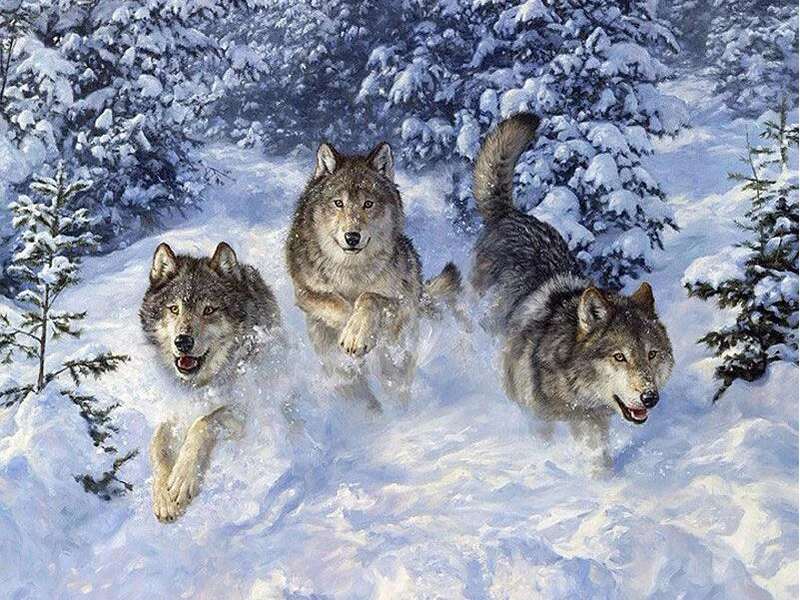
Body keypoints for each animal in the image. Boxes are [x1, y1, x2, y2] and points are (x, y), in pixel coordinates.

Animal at [140, 241, 280, 522]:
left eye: (209, 310)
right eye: (174, 309)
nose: (183, 342)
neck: (201, 384)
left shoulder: (243, 410)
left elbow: (203, 422)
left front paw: (182, 479)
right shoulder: (175, 410)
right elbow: (156, 445)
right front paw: (163, 497)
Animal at [286, 141, 461, 409]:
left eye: (368, 204)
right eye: (338, 203)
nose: (352, 237)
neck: (352, 269)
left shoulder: (403, 302)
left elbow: (369, 297)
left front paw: (357, 333)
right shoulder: (306, 293)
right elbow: (338, 304)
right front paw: (351, 330)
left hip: (398, 361)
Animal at [472, 113, 674, 470]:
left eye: (652, 354)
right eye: (619, 357)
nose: (650, 397)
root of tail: (509, 214)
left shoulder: (590, 419)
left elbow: (598, 459)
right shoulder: (538, 420)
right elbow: (544, 442)